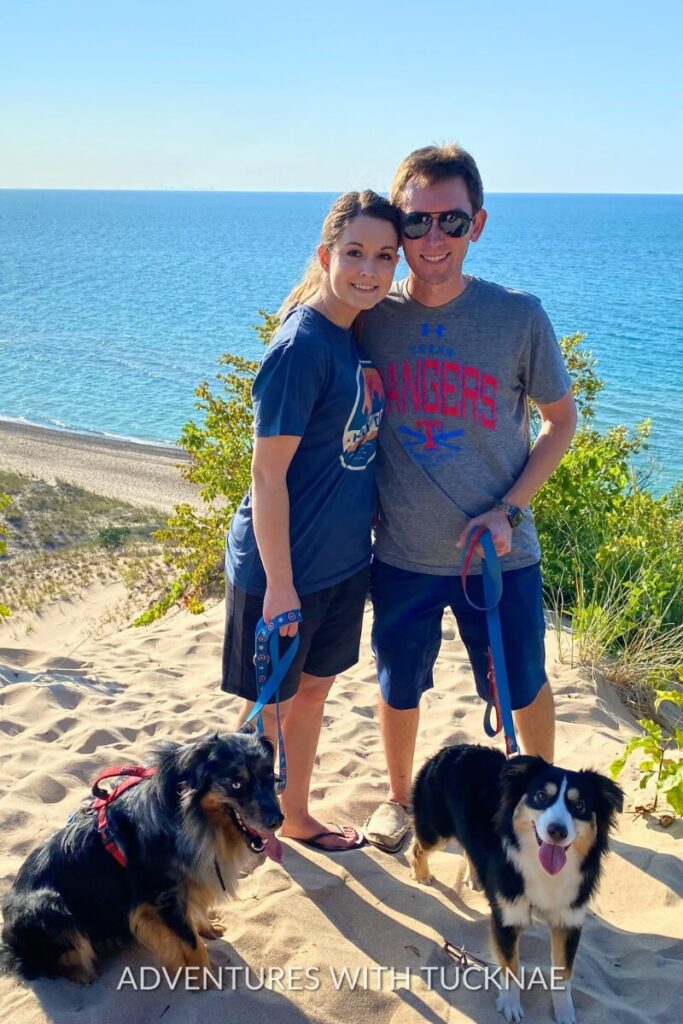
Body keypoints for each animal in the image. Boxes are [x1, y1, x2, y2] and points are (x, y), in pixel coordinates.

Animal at [0, 729, 282, 983]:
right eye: (236, 784)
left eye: (270, 776)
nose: (278, 820)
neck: (193, 819)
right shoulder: (163, 897)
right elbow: (192, 943)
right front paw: (205, 979)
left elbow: (195, 918)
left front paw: (208, 929)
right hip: (51, 908)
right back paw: (82, 973)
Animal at [409, 745, 622, 1024]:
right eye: (541, 796)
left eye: (580, 805)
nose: (557, 831)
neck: (544, 870)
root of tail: (451, 749)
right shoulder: (507, 917)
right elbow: (511, 966)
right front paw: (510, 1005)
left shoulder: (569, 919)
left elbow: (564, 973)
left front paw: (564, 1012)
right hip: (436, 829)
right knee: (418, 848)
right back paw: (422, 874)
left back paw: (475, 878)